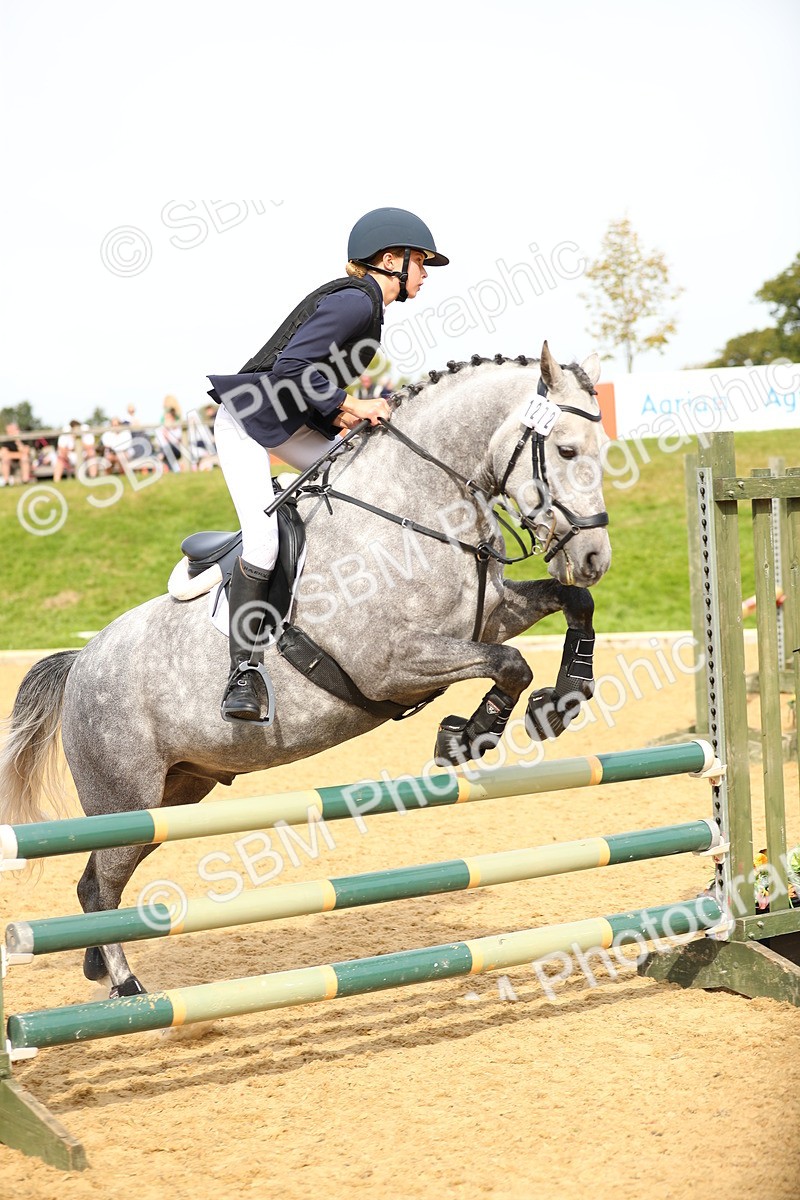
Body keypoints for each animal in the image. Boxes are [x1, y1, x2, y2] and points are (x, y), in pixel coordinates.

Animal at [0, 342, 612, 997]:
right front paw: (468, 735)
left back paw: (99, 968)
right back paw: (127, 987)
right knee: (102, 883)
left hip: (177, 791)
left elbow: (569, 607)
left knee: (95, 881)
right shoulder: (390, 663)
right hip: (125, 798)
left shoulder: (490, 617)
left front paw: (562, 699)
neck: (412, 508)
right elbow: (510, 665)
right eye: (566, 450)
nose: (594, 557)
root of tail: (80, 663)